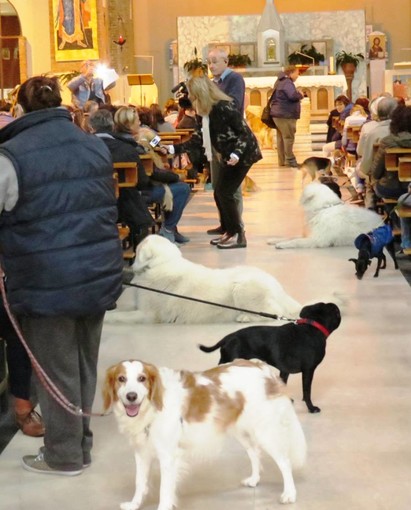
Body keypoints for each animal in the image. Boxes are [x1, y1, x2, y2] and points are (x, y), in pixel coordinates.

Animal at [104, 234, 300, 322]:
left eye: (137, 250)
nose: (128, 265)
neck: (162, 263)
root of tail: (278, 286)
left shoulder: (147, 314)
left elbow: (117, 316)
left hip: (244, 288)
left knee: (275, 313)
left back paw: (245, 317)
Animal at [104, 358, 308, 510]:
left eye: (142, 378)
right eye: (121, 379)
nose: (131, 396)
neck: (151, 408)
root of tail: (261, 367)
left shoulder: (168, 456)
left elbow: (164, 490)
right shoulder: (142, 452)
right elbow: (140, 482)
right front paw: (134, 504)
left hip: (265, 432)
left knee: (284, 462)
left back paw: (289, 494)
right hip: (242, 431)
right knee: (254, 452)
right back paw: (254, 479)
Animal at [199, 302, 342, 414]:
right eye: (335, 311)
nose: (337, 308)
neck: (312, 326)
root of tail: (228, 338)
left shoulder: (285, 371)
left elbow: (284, 384)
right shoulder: (308, 370)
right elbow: (307, 392)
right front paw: (311, 408)